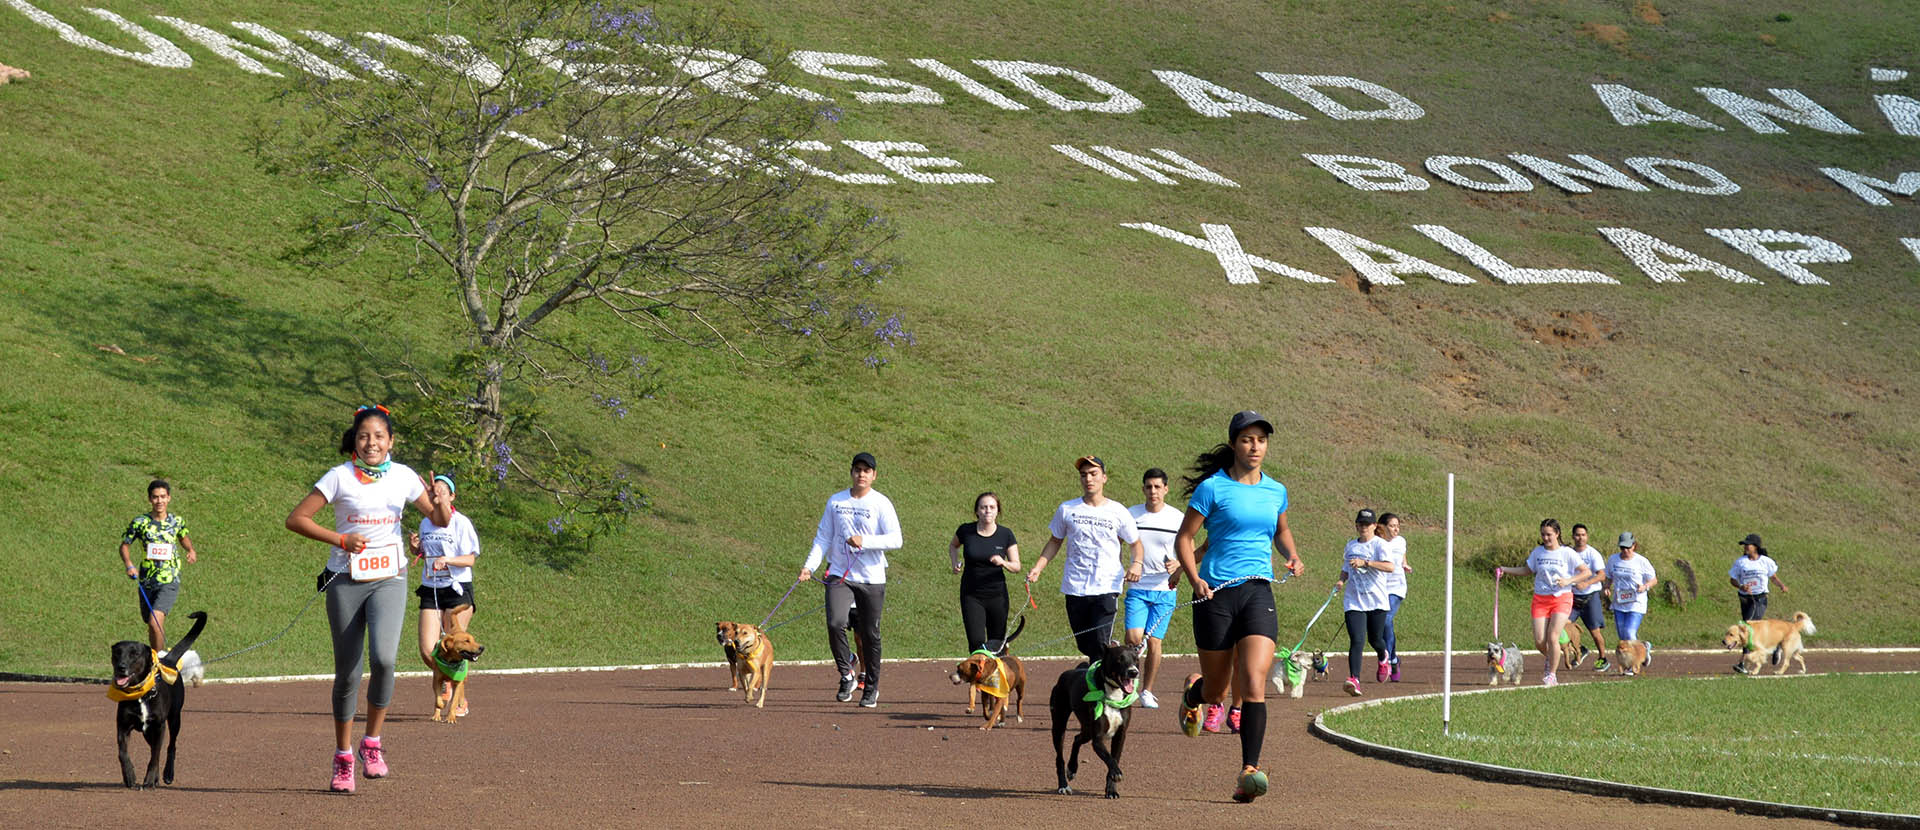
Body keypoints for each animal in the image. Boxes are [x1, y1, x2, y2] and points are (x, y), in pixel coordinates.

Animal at [109, 610, 206, 791]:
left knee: (170, 747)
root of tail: (168, 660)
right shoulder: (123, 726)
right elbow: (122, 753)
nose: (121, 667)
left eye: (134, 654)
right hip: (148, 731)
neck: (141, 694)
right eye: (117, 653)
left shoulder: (159, 726)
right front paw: (130, 777)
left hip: (174, 719)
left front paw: (148, 780)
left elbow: (155, 756)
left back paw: (167, 774)